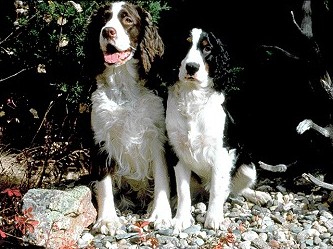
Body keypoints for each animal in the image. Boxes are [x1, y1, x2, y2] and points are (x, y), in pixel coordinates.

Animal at [84, 0, 171, 235]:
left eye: (128, 20)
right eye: (103, 19)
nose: (107, 31)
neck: (123, 86)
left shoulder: (157, 136)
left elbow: (162, 177)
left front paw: (161, 214)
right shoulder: (101, 138)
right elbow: (104, 183)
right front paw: (107, 220)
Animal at [165, 27, 272, 233]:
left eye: (207, 48)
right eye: (185, 43)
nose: (191, 67)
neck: (193, 98)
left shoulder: (222, 153)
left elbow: (217, 189)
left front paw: (213, 218)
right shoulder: (177, 152)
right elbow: (183, 191)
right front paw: (181, 219)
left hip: (248, 168)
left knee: (232, 188)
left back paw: (258, 196)